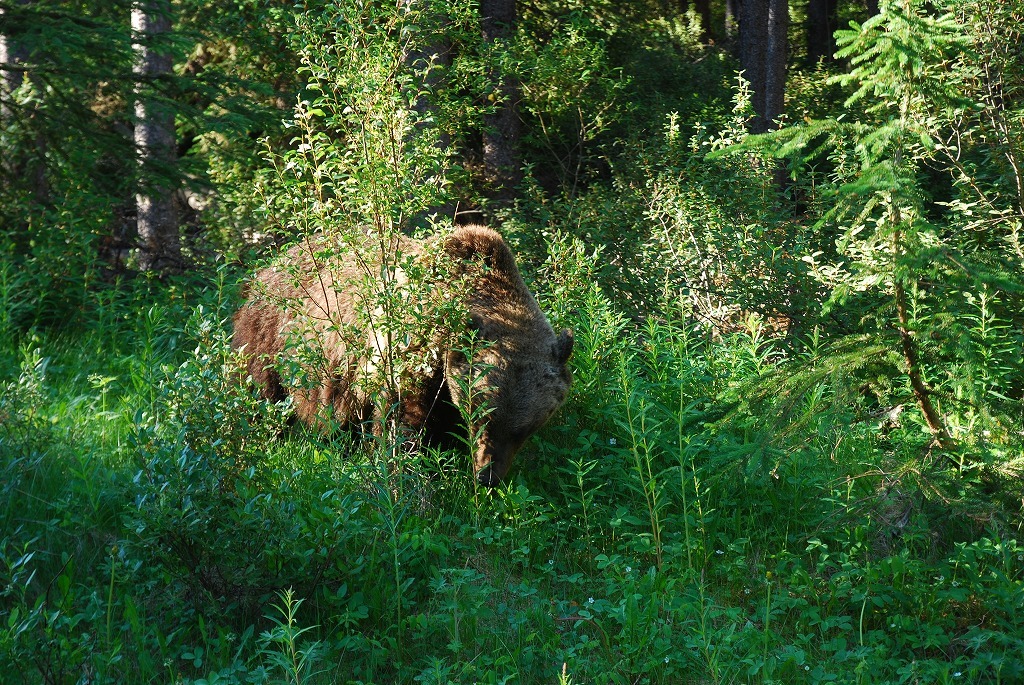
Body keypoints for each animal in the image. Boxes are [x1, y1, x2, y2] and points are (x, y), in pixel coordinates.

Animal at [230, 227, 577, 483]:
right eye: (482, 416)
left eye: (526, 428)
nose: (488, 477)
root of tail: (270, 262)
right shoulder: (409, 351)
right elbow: (402, 417)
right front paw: (406, 465)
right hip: (269, 338)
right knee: (263, 394)